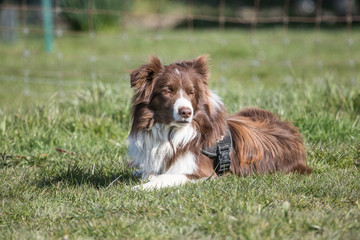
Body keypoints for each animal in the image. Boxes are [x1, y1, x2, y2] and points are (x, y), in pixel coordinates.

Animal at [127, 56, 312, 189]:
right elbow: (149, 173)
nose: (186, 112)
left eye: (191, 92)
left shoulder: (202, 173)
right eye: (168, 90)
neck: (170, 132)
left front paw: (138, 188)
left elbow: (165, 177)